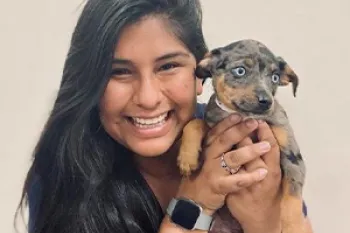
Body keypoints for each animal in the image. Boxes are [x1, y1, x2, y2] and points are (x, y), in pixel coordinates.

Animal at [179, 39, 308, 233]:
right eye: (240, 71)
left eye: (275, 78)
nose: (266, 101)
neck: (246, 116)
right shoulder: (213, 130)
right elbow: (194, 123)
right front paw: (187, 158)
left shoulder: (293, 156)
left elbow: (293, 199)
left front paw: (295, 227)